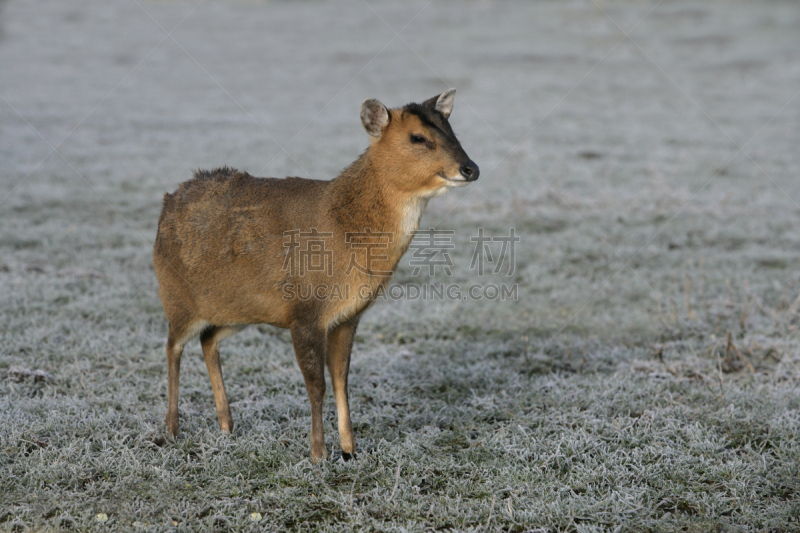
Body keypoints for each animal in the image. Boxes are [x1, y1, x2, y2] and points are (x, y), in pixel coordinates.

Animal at [155, 88, 478, 462]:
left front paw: (350, 449)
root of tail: (168, 202)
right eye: (418, 137)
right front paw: (318, 452)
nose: (471, 168)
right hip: (176, 296)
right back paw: (171, 430)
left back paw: (226, 425)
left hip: (234, 309)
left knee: (208, 340)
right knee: (172, 345)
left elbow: (341, 380)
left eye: (450, 128)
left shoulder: (347, 317)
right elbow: (316, 384)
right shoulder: (304, 311)